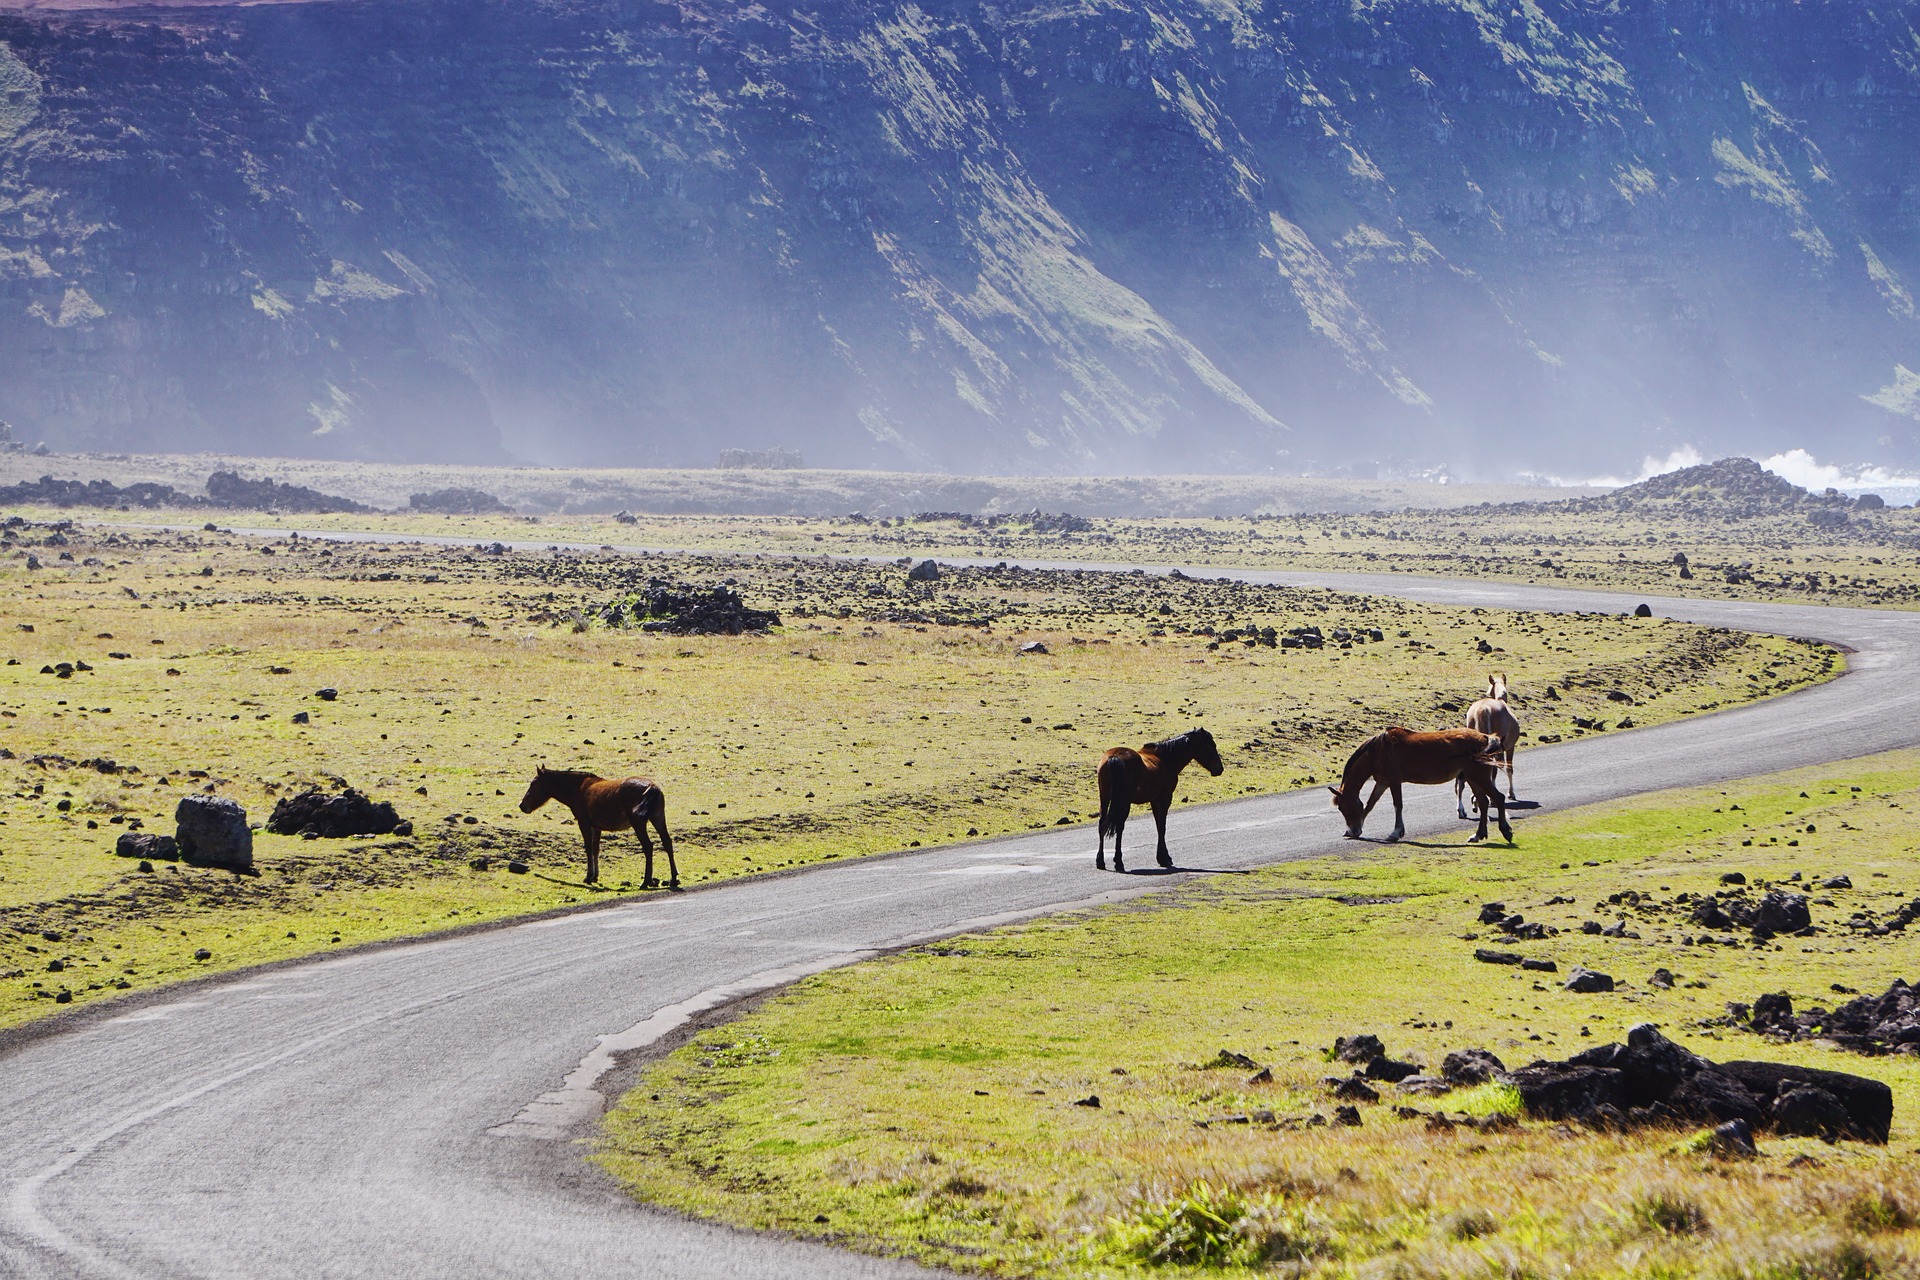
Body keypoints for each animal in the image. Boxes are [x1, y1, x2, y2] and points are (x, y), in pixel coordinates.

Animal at [522, 767, 679, 886]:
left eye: (534, 784)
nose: (522, 806)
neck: (578, 788)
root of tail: (652, 787)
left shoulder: (584, 823)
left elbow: (588, 849)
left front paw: (588, 876)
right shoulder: (596, 827)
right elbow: (596, 850)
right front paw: (595, 876)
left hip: (639, 823)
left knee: (648, 847)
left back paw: (646, 881)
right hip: (658, 818)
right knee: (667, 842)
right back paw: (673, 878)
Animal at [1098, 729, 1228, 871]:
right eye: (1210, 746)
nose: (1220, 769)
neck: (1165, 759)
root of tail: (1114, 758)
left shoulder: (1154, 801)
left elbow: (1158, 826)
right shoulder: (1165, 799)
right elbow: (1162, 827)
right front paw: (1165, 858)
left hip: (1105, 799)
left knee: (1102, 826)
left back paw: (1100, 861)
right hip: (1123, 803)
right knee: (1119, 828)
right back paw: (1118, 862)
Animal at [1328, 725, 1505, 844]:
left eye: (1342, 807)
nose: (1354, 829)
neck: (1378, 751)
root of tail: (1484, 738)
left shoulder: (1394, 781)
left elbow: (1397, 805)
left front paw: (1395, 832)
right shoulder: (1382, 782)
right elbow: (1370, 804)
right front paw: (1351, 831)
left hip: (1477, 776)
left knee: (1498, 797)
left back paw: (1506, 831)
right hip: (1471, 778)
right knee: (1483, 802)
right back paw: (1478, 835)